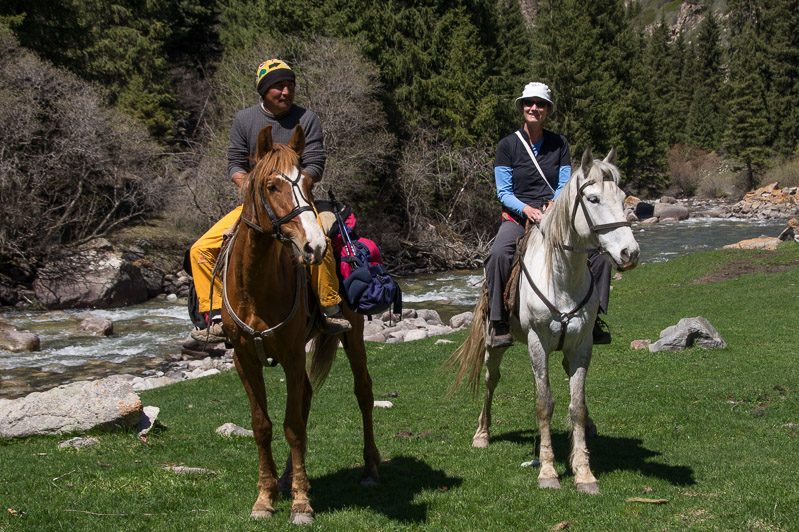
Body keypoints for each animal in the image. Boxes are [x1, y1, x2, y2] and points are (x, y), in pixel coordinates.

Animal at [220, 123, 380, 524]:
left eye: (307, 183)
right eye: (271, 185)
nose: (314, 247)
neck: (255, 288)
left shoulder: (292, 355)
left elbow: (292, 426)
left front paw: (301, 503)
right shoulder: (243, 359)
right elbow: (262, 426)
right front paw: (265, 497)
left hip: (354, 335)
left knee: (363, 392)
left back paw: (370, 469)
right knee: (306, 396)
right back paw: (289, 478)